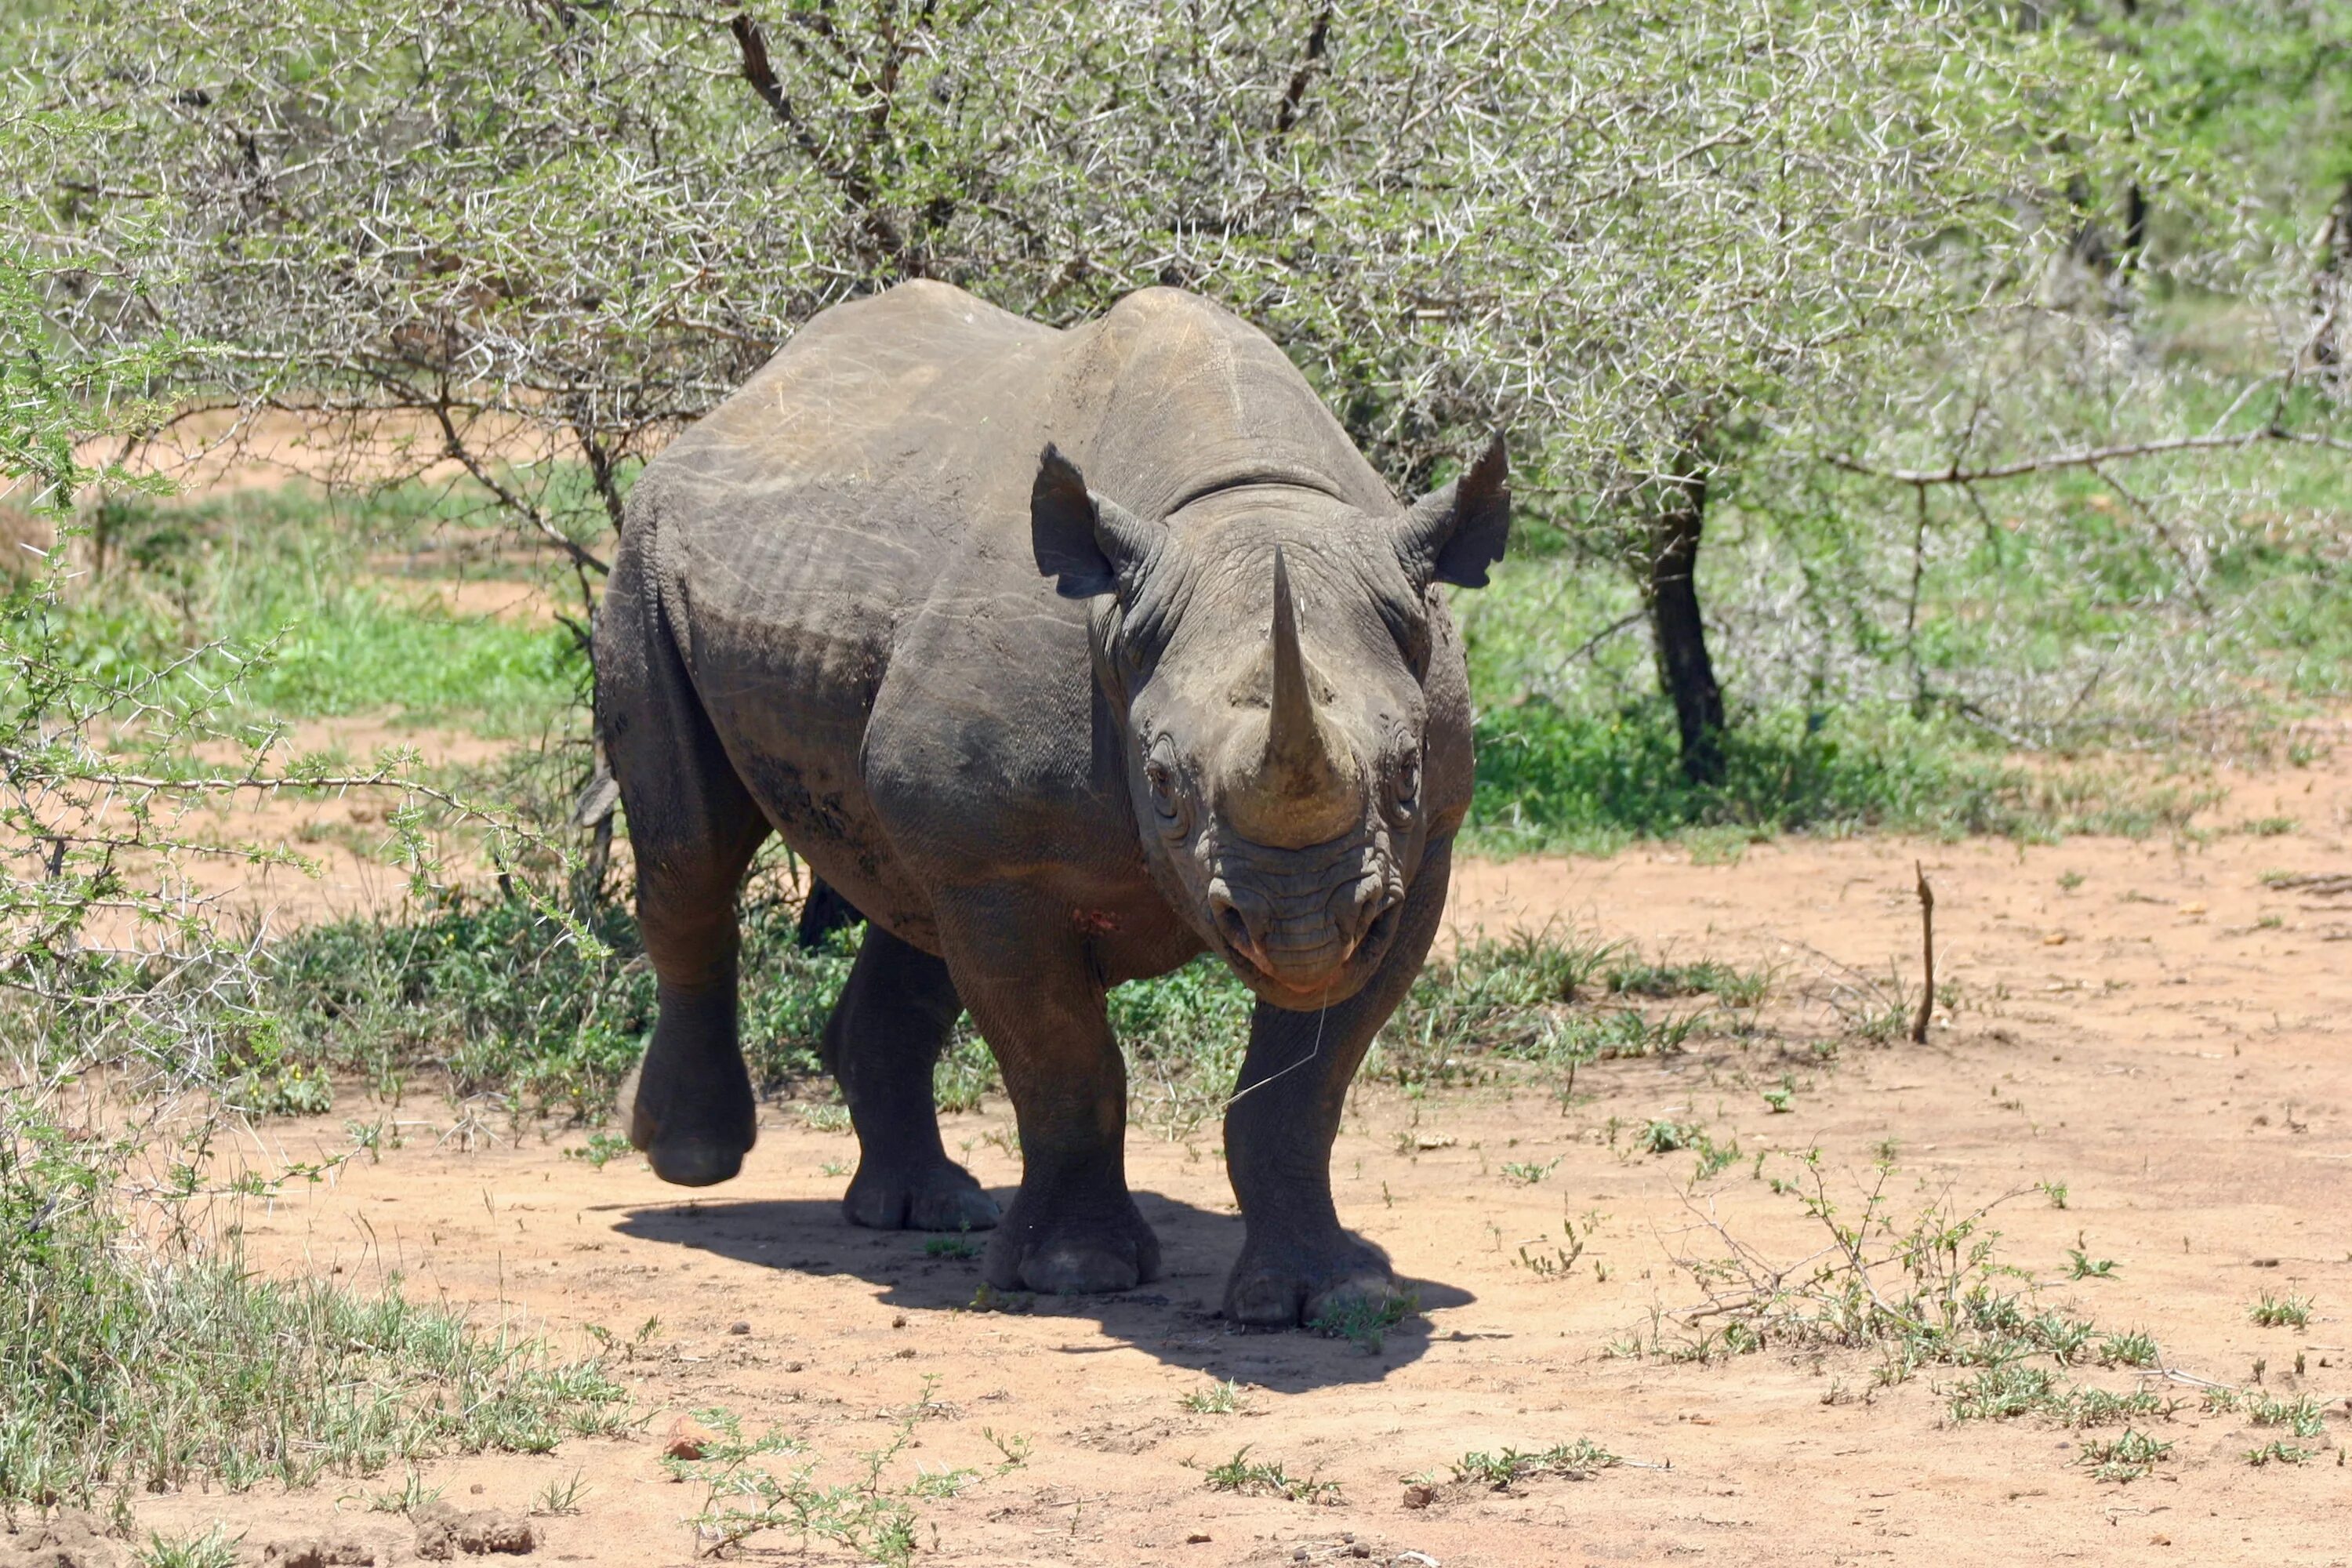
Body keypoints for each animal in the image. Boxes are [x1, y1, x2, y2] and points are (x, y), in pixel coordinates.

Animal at [593, 281, 1505, 1326]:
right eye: (1163, 784)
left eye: (1407, 772)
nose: (1303, 927)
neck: (1243, 506)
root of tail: (736, 406)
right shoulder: (1004, 865)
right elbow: (1065, 1062)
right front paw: (1077, 1274)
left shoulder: (1417, 858)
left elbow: (1301, 1090)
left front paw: (1335, 1292)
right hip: (647, 550)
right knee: (691, 852)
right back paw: (693, 1158)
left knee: (906, 902)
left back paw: (928, 1209)